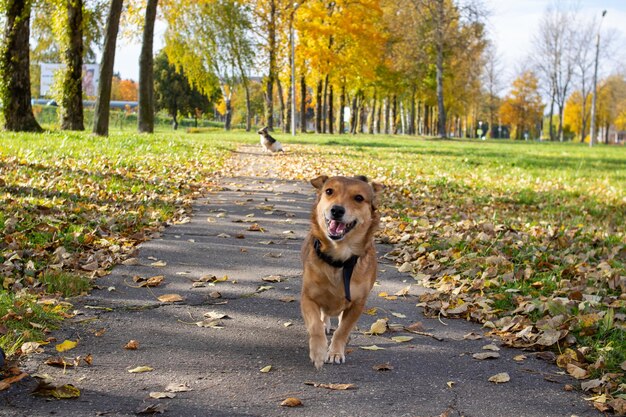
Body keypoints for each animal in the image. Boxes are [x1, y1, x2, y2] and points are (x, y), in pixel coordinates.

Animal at [298, 175, 380, 368]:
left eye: (358, 198)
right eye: (329, 191)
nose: (336, 210)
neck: (339, 260)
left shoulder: (357, 303)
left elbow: (343, 329)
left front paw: (335, 351)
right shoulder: (308, 298)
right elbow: (315, 325)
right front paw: (319, 351)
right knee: (323, 315)